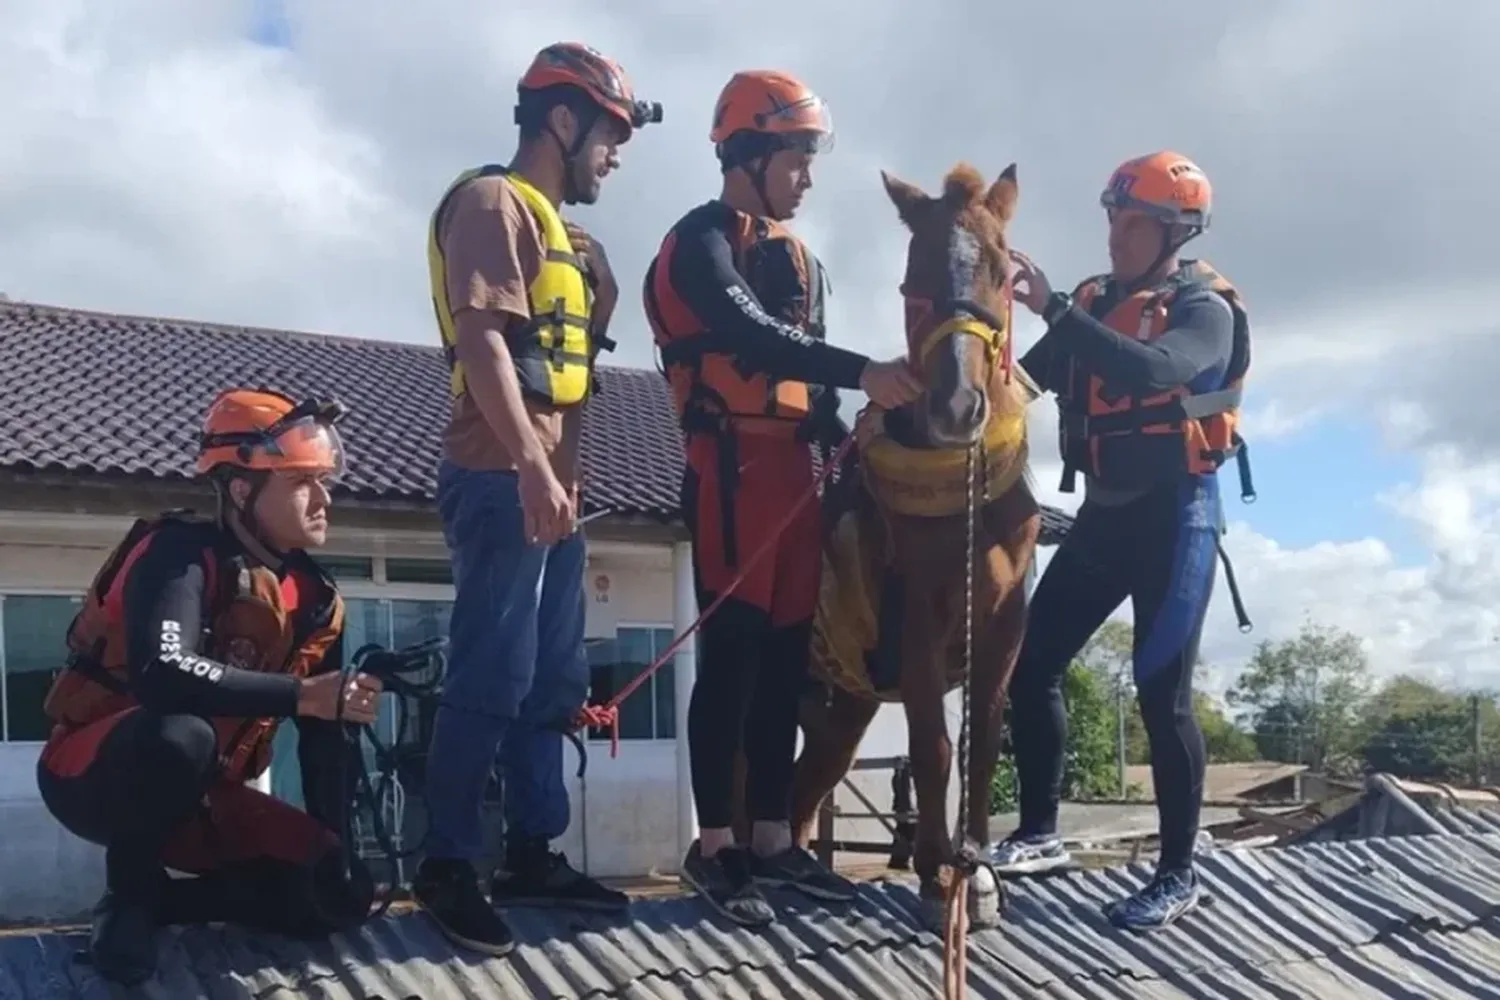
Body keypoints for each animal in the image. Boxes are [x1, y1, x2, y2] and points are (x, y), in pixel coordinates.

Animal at [35, 389, 378, 983]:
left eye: (321, 480)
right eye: (302, 482)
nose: (322, 506)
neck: (256, 551)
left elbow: (323, 745)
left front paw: (339, 871)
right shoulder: (173, 554)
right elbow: (166, 664)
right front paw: (329, 693)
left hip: (226, 826)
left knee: (273, 883)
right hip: (70, 775)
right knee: (172, 737)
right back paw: (123, 920)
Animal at [639, 72, 918, 929]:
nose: (805, 183)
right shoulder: (698, 248)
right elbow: (751, 322)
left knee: (772, 715)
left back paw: (781, 860)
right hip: (733, 576)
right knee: (727, 694)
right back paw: (724, 870)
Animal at [756, 166, 1038, 929]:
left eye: (1002, 269)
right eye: (913, 277)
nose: (957, 408)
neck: (966, 495)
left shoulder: (1004, 627)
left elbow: (981, 745)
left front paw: (978, 874)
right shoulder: (917, 624)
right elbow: (932, 746)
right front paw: (941, 876)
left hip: (842, 711)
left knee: (802, 796)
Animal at [990, 152, 1248, 935]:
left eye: (1135, 219)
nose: (1114, 240)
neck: (1148, 284)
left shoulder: (1206, 313)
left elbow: (1161, 361)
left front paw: (1045, 293)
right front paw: (1033, 843)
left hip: (1180, 566)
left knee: (1169, 719)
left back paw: (1169, 886)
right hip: (1090, 569)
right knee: (1036, 671)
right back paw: (1037, 843)